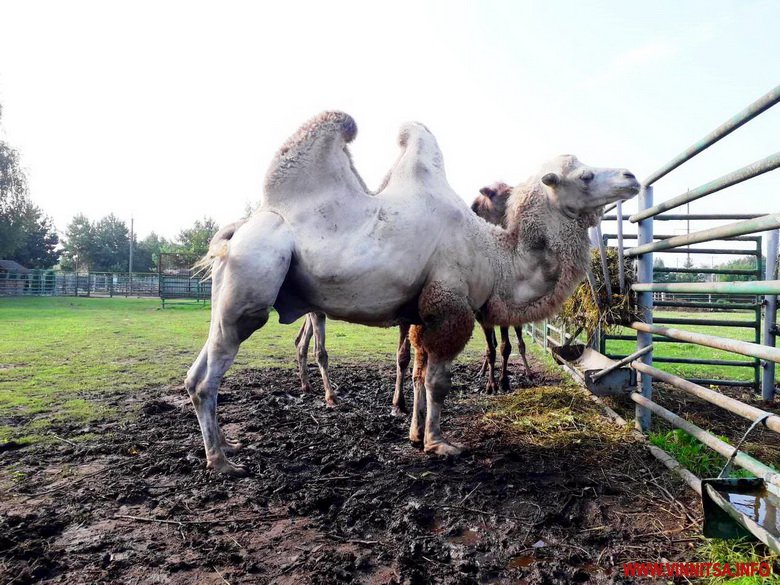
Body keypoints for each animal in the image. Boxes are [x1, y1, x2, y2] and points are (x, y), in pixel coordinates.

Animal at [186, 113, 636, 474]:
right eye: (585, 176)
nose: (631, 177)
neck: (496, 256)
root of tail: (236, 230)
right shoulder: (450, 307)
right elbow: (437, 381)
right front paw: (440, 443)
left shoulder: (422, 313)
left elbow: (418, 373)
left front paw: (416, 435)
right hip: (253, 280)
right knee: (210, 376)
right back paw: (222, 463)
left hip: (227, 293)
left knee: (196, 372)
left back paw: (229, 445)